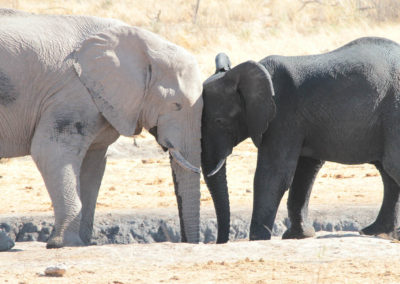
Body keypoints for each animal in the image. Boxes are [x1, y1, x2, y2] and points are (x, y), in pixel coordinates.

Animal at [0, 8, 203, 248]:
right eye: (176, 105)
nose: (187, 241)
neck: (144, 44)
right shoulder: (72, 93)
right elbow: (48, 151)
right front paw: (65, 244)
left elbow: (93, 163)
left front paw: (81, 242)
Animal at [202, 36, 400, 243]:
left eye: (219, 121)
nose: (220, 242)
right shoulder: (302, 121)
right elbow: (305, 171)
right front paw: (298, 235)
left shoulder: (283, 113)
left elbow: (274, 173)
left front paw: (259, 238)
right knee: (387, 171)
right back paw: (375, 232)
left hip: (393, 111)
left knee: (392, 165)